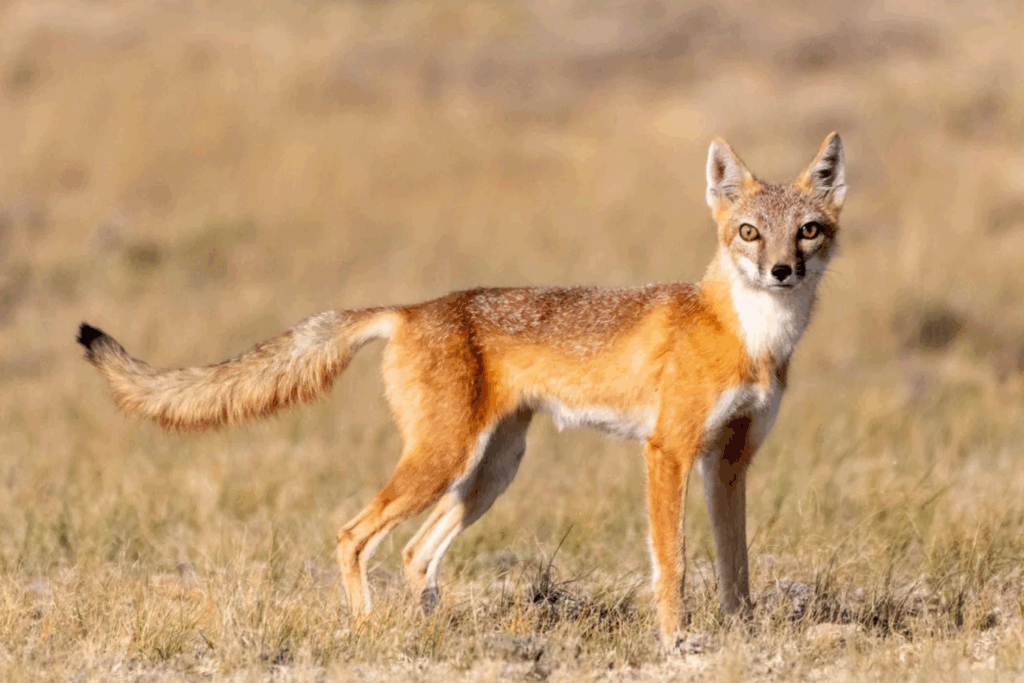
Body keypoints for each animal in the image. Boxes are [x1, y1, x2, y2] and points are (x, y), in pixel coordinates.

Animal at [76, 133, 845, 647]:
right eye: (748, 232)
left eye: (808, 230)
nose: (782, 271)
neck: (750, 337)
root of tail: (411, 307)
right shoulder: (668, 451)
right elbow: (675, 564)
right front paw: (675, 643)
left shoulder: (730, 461)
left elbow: (736, 567)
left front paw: (744, 638)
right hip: (444, 461)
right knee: (353, 536)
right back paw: (367, 630)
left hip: (489, 472)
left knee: (416, 552)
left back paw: (433, 636)